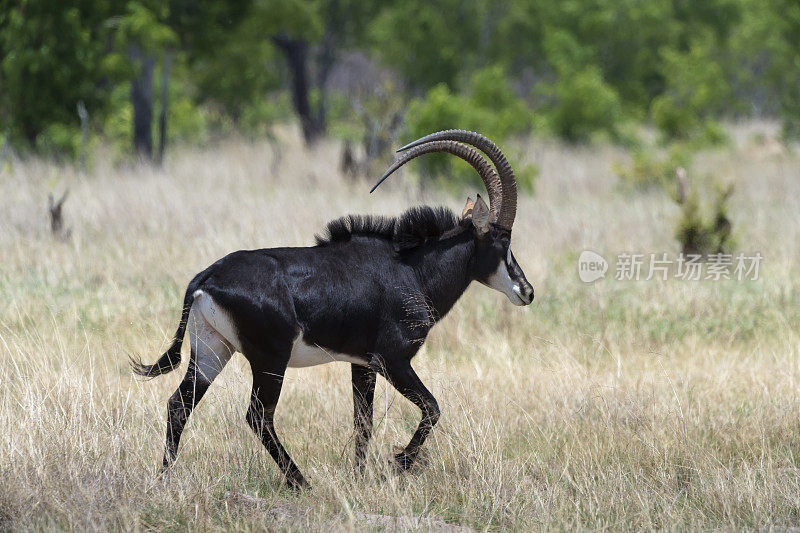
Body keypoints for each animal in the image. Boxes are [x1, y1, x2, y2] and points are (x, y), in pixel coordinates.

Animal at [133, 131, 532, 488]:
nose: (526, 291)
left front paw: (359, 477)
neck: (412, 270)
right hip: (269, 359)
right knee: (258, 416)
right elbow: (432, 407)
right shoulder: (393, 360)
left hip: (213, 350)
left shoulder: (362, 364)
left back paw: (164, 479)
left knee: (179, 405)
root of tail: (206, 277)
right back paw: (300, 482)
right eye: (503, 241)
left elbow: (363, 421)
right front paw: (398, 463)